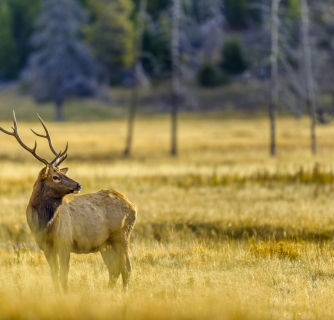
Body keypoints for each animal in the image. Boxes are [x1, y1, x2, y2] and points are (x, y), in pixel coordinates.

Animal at [0, 112, 136, 292]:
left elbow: (64, 274)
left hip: (122, 235)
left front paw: (65, 294)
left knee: (126, 267)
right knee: (114, 269)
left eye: (62, 173)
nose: (79, 185)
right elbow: (54, 273)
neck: (46, 225)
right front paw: (58, 293)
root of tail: (133, 206)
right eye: (55, 176)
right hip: (106, 243)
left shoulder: (64, 242)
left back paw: (124, 293)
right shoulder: (45, 246)